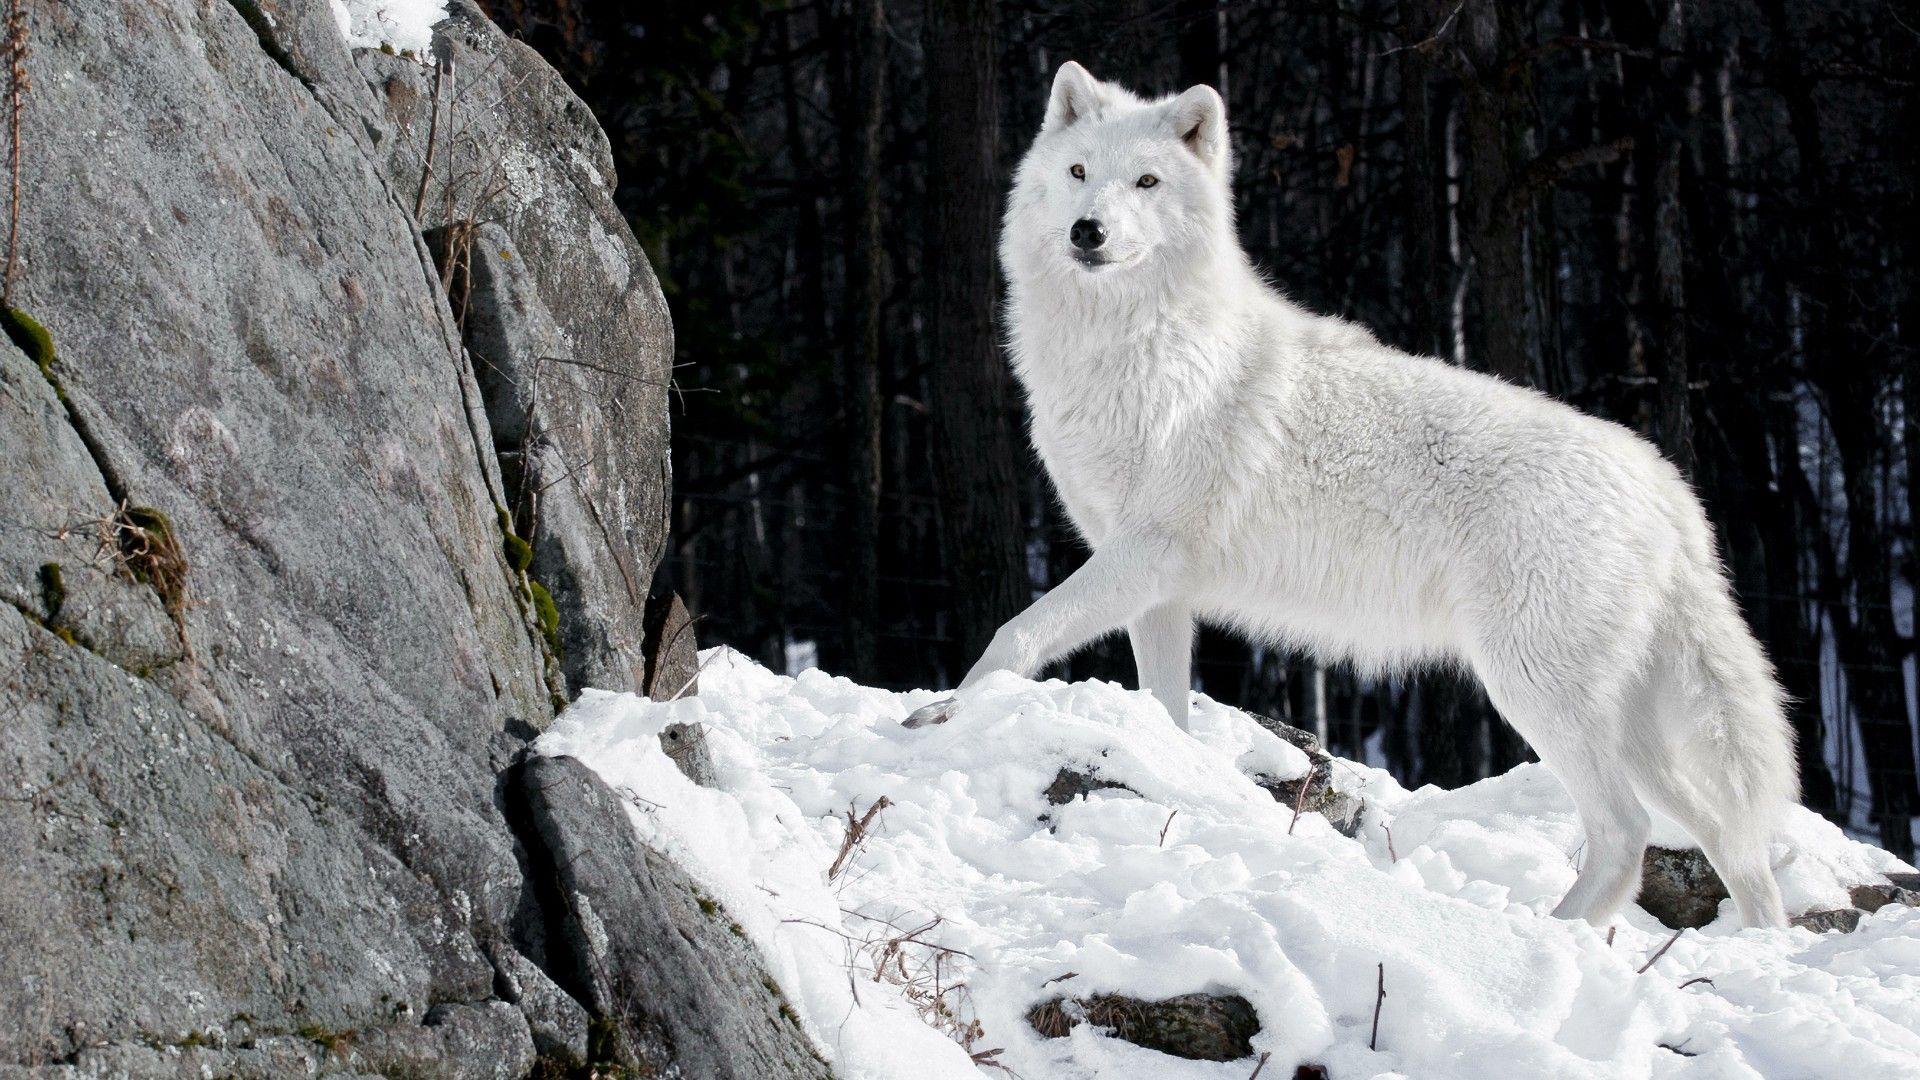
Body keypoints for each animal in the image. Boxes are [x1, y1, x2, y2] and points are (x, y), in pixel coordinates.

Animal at [909, 61, 1798, 929]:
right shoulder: (1157, 589)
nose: (1087, 231)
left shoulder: (1145, 554)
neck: (1134, 349)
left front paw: (942, 717)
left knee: (1627, 833)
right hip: (1630, 727)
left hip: (1534, 690)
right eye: (1079, 173)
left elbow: (1014, 635)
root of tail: (1666, 485)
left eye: (1147, 182)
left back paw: (1547, 937)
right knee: (1730, 838)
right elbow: (1165, 709)